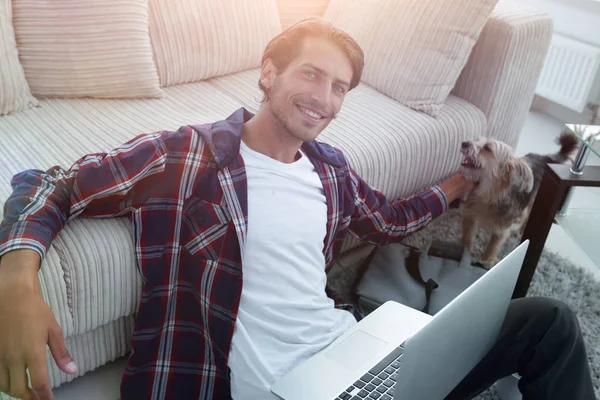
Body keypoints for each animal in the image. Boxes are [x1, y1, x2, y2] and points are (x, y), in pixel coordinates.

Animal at [458, 130, 580, 264]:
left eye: (487, 148)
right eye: (477, 140)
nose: (464, 143)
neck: (489, 193)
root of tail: (546, 158)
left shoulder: (502, 228)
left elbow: (494, 244)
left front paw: (487, 260)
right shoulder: (469, 214)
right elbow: (467, 233)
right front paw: (465, 247)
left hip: (534, 201)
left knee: (527, 216)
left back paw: (520, 231)